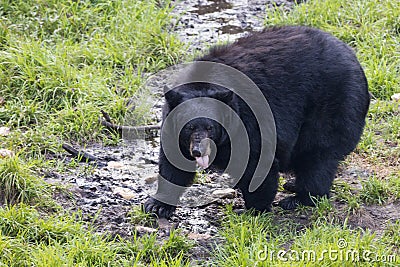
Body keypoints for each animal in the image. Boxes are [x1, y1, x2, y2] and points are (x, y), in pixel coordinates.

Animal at [143, 25, 368, 219]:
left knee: (318, 155)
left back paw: (299, 198)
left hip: (331, 106)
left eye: (210, 127)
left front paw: (253, 210)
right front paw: (157, 205)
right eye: (189, 127)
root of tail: (355, 59)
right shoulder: (171, 125)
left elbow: (257, 160)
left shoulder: (249, 120)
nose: (199, 151)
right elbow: (173, 163)